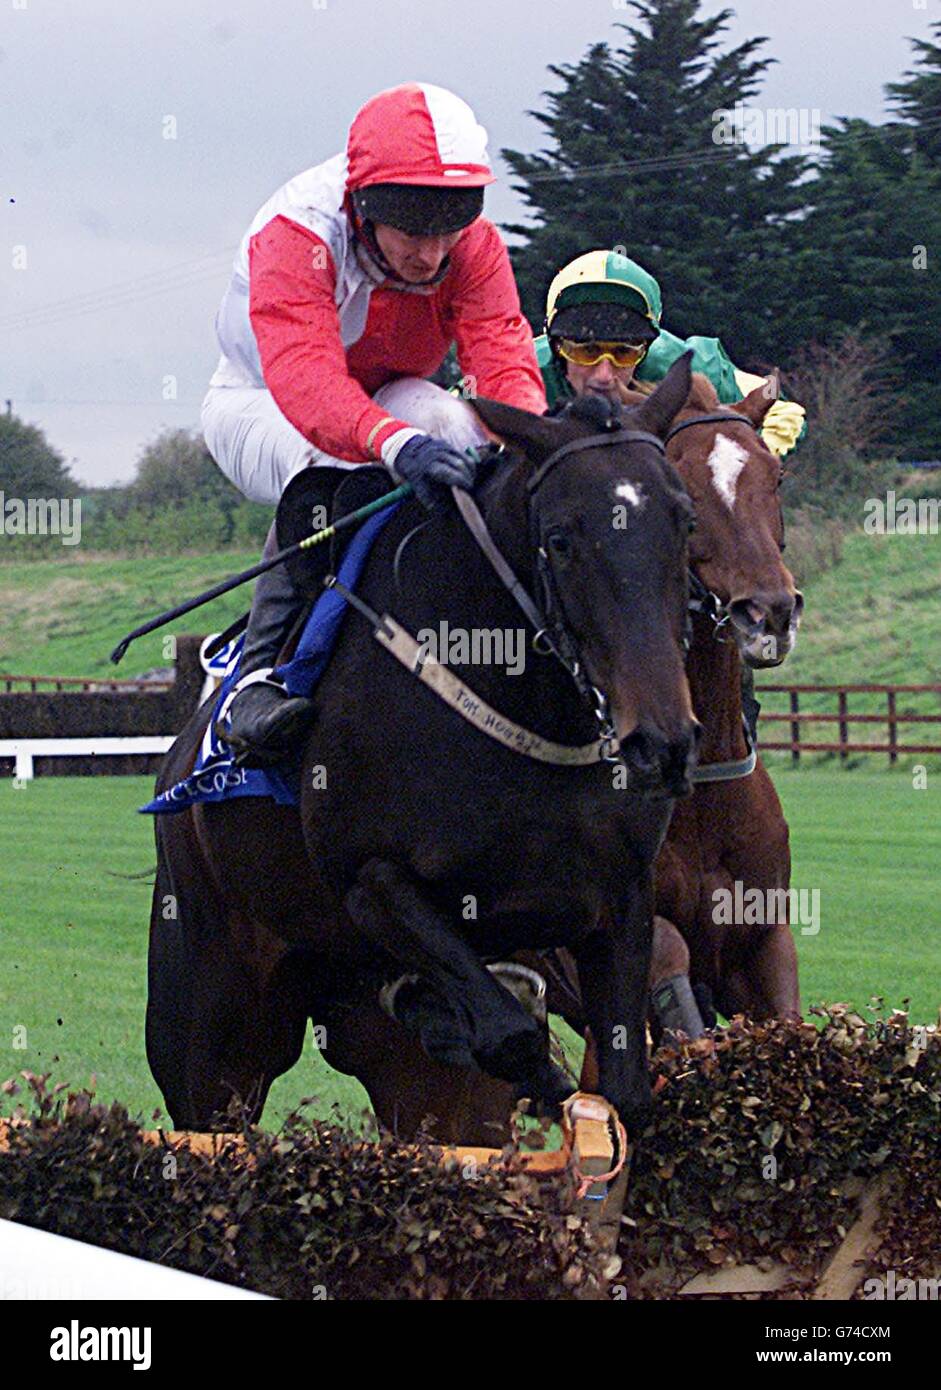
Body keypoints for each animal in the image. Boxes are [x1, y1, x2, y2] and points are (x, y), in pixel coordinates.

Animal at [146, 358, 697, 1139]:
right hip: (214, 1033)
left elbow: (624, 1087)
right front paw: (543, 1077)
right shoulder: (371, 880)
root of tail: (177, 766)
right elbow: (512, 1037)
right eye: (561, 538)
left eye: (684, 521)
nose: (660, 742)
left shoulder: (618, 897)